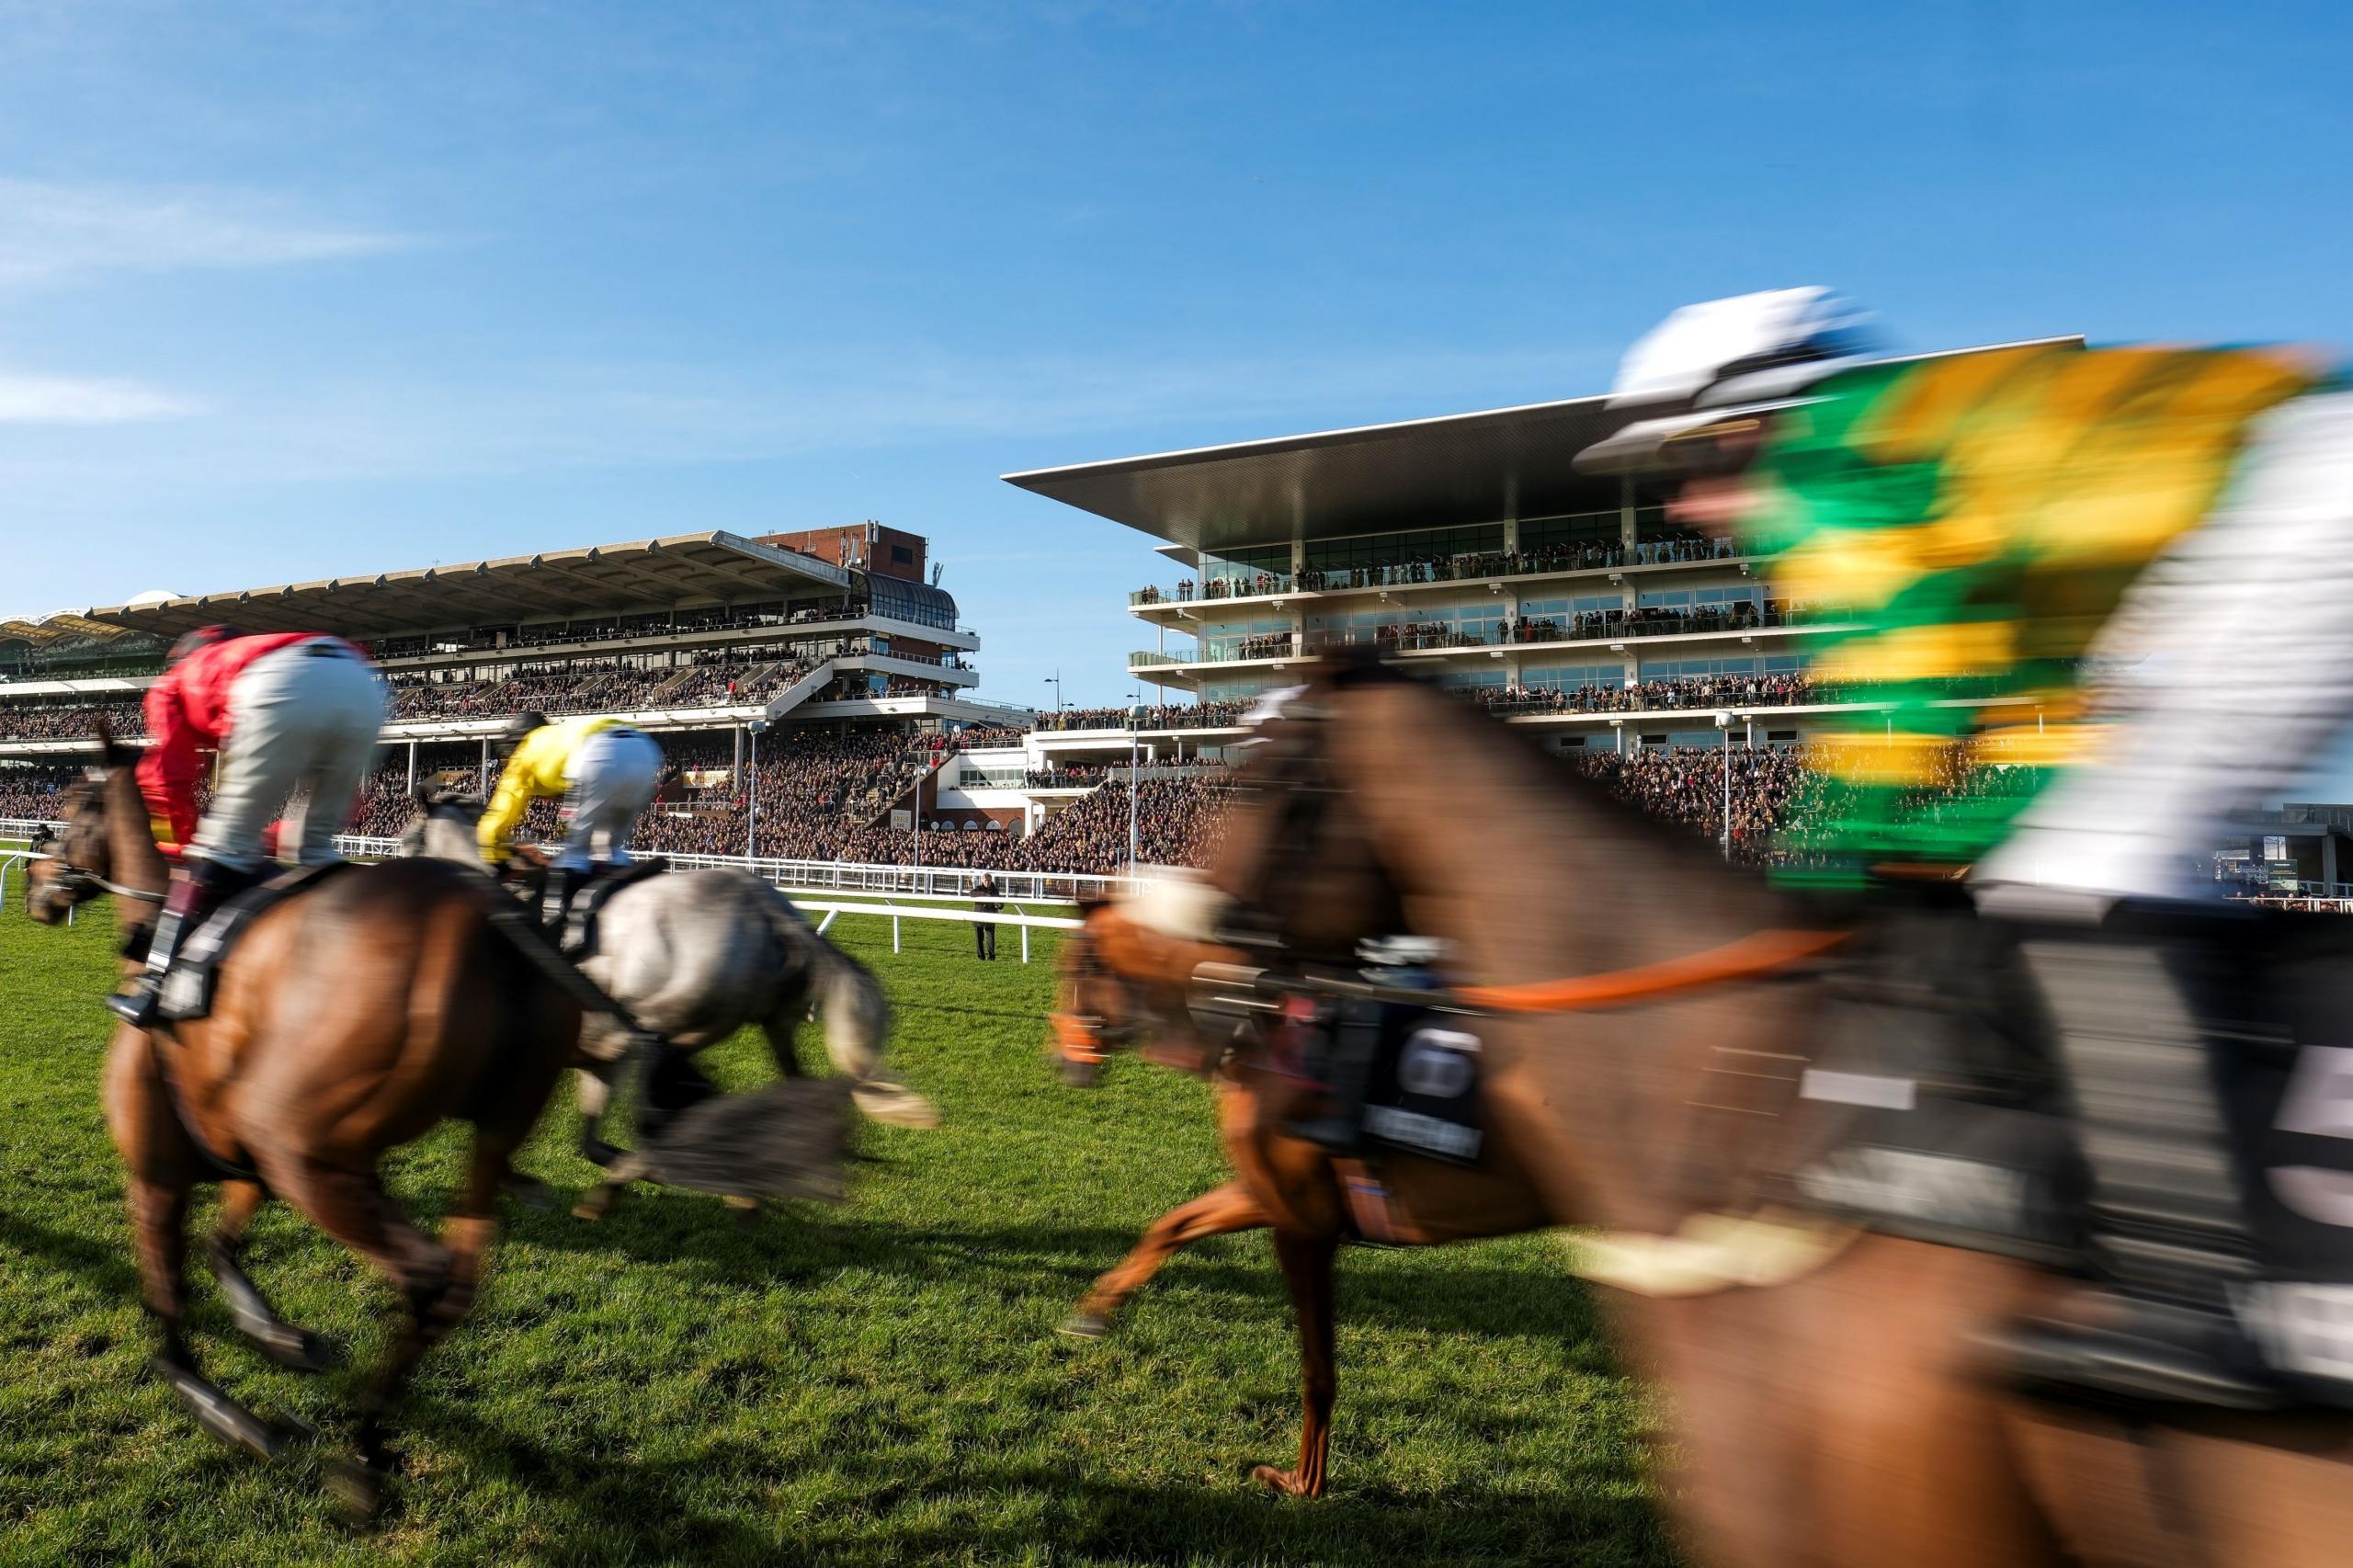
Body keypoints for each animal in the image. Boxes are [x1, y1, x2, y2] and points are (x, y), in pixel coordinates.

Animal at [28, 744, 583, 1516]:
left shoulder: (163, 1167)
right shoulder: (247, 1148)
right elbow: (226, 1241)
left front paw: (216, 1405)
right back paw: (368, 1442)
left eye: (74, 806)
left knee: (425, 1274)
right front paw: (272, 1331)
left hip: (310, 1158)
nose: (37, 887)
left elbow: (168, 1297)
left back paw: (360, 1451)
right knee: (457, 1284)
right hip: (478, 1134)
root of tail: (486, 918)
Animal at [1073, 668, 2353, 1562]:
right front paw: (1100, 1308)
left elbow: (1304, 1352)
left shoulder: (1296, 1211)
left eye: (1250, 779)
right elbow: (1174, 1228)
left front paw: (1297, 1475)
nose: (1070, 1050)